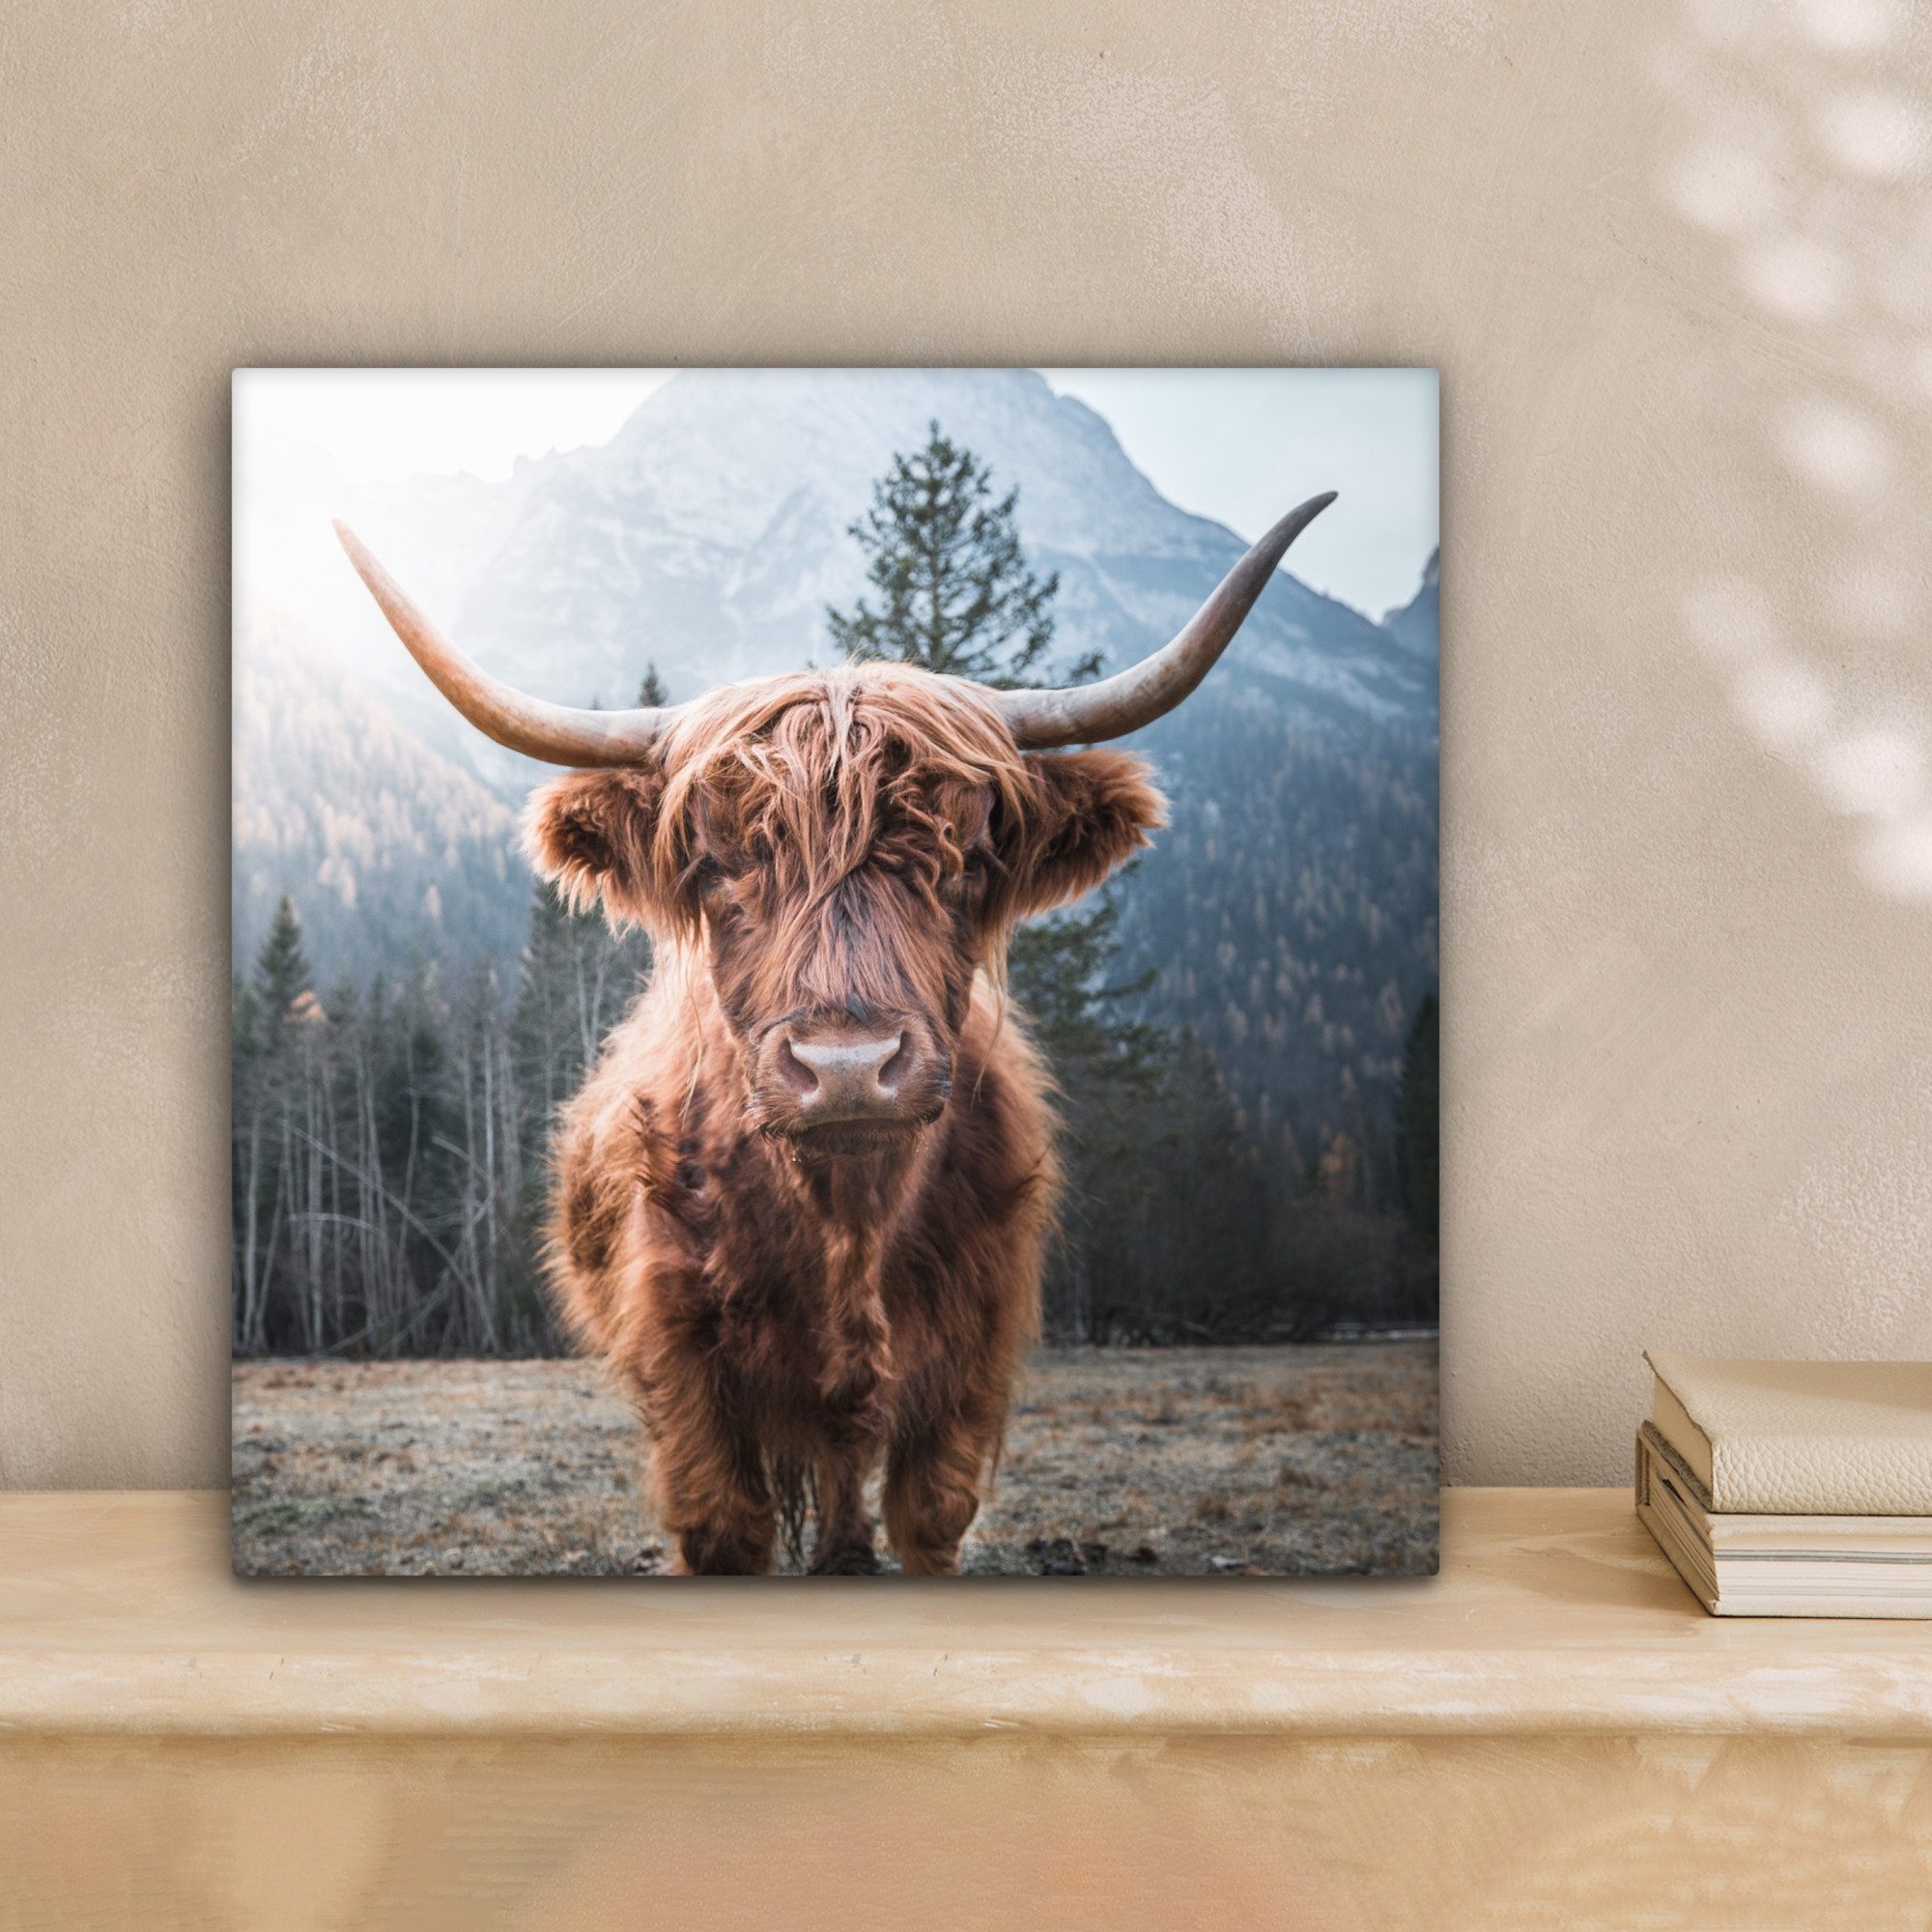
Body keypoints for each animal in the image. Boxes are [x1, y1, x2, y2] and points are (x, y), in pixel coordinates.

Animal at [334, 490, 1333, 1574]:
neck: (847, 1222)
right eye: (717, 861)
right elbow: (725, 1530)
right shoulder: (685, 1371)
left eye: (967, 856)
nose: (847, 1068)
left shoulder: (970, 1360)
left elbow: (928, 1518)